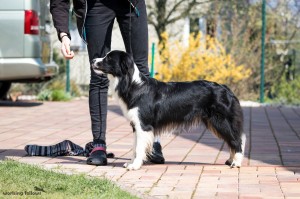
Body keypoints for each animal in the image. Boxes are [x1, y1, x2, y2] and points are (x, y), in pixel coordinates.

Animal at [92, 50, 246, 170]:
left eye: (109, 58)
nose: (93, 60)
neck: (133, 84)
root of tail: (226, 88)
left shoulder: (143, 125)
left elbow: (139, 147)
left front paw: (135, 165)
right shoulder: (136, 125)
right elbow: (135, 146)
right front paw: (131, 163)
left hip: (221, 121)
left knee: (236, 140)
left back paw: (236, 162)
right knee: (231, 140)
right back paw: (231, 160)